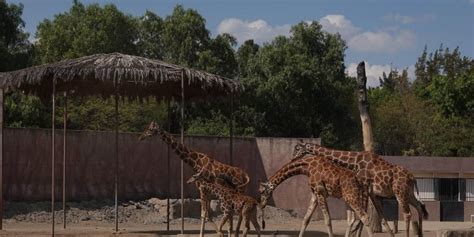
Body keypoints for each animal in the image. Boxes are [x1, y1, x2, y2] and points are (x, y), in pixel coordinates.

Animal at [292, 142, 430, 237]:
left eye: (297, 148)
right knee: (419, 206)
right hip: (409, 193)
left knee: (407, 214)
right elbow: (378, 216)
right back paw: (420, 234)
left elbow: (361, 216)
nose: (293, 158)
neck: (354, 161)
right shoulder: (369, 191)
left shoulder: (364, 187)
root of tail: (413, 178)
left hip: (399, 193)